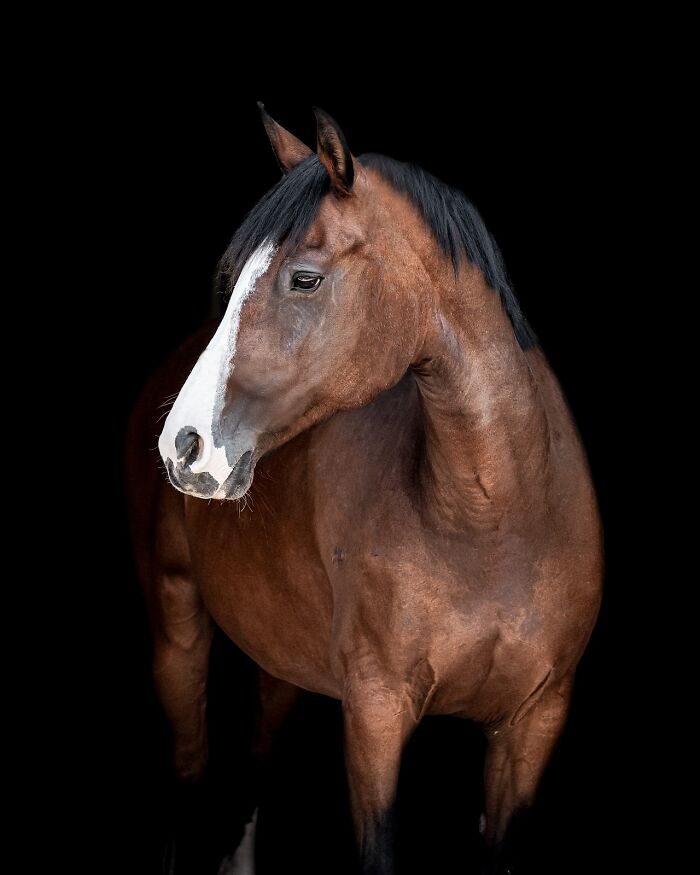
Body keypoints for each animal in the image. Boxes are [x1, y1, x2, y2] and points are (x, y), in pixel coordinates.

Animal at [126, 105, 602, 875]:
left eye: (305, 279)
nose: (184, 444)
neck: (493, 522)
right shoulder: (376, 716)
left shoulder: (535, 723)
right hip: (177, 634)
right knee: (191, 775)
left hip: (280, 659)